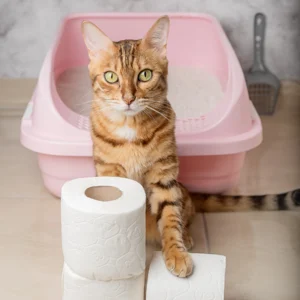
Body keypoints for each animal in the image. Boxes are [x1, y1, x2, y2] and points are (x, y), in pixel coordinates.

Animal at [81, 15, 298, 278]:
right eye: (111, 77)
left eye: (145, 75)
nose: (128, 98)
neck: (130, 127)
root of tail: (189, 190)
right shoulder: (109, 173)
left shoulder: (164, 176)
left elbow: (169, 217)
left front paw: (176, 253)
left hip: (179, 191)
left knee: (184, 214)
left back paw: (186, 236)